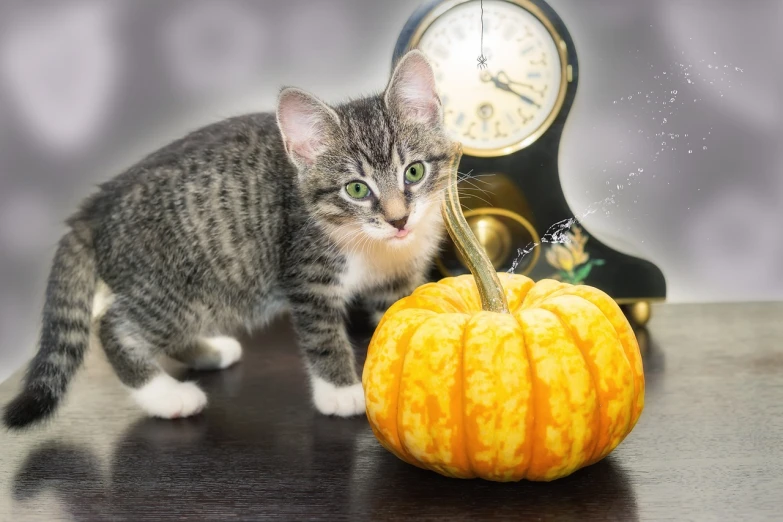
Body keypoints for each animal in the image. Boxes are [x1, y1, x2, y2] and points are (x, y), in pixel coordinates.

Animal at [3, 50, 454, 428]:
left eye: (414, 172)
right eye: (356, 189)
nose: (398, 219)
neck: (374, 246)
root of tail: (97, 204)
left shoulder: (397, 281)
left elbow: (397, 321)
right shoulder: (305, 273)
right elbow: (322, 333)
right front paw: (341, 392)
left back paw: (209, 352)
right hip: (176, 289)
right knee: (114, 327)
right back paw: (166, 396)